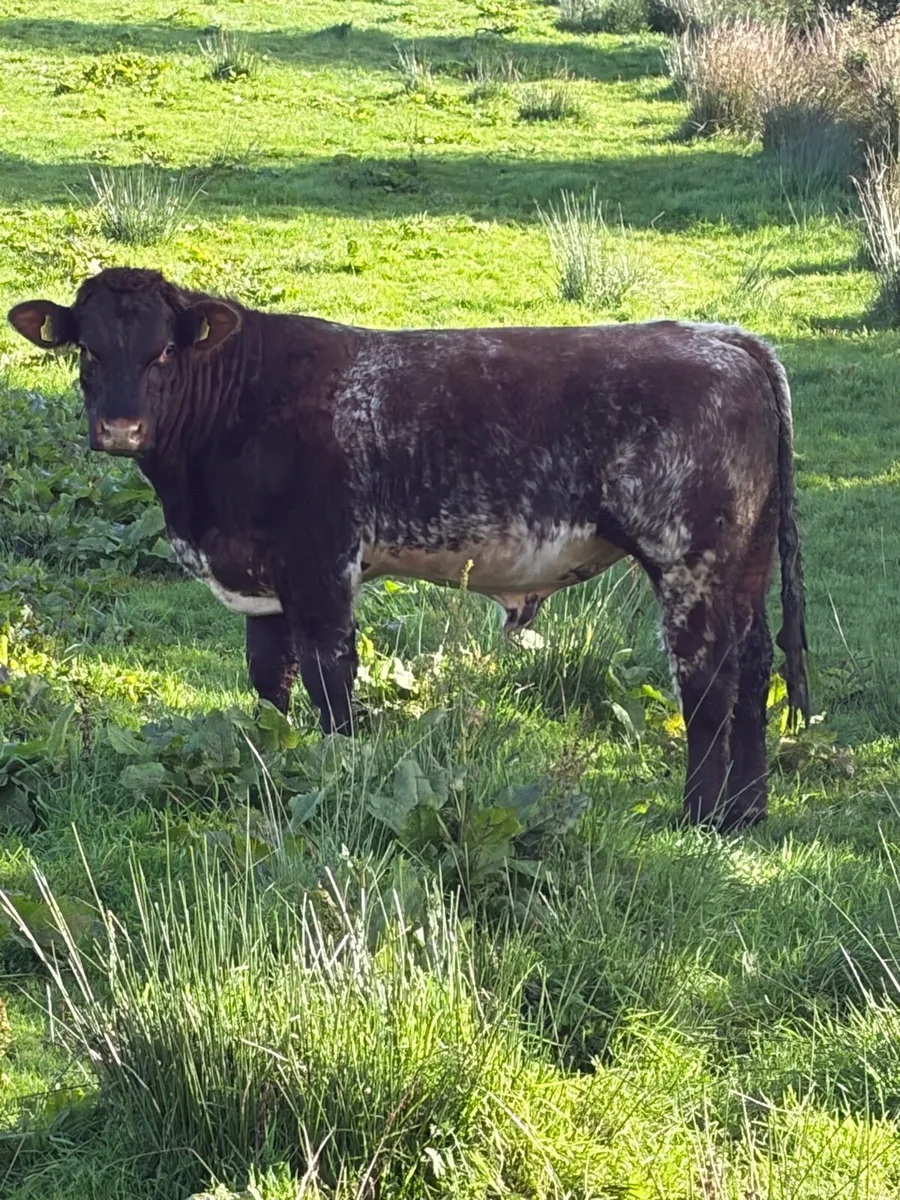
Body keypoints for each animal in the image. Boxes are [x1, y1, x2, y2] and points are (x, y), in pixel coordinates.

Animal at [8, 267, 808, 831]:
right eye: (87, 348)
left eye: (165, 350)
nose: (120, 428)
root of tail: (730, 340)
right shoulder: (263, 580)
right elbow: (269, 684)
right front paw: (272, 765)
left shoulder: (321, 564)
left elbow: (331, 682)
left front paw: (336, 774)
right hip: (745, 561)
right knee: (753, 668)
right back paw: (746, 812)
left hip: (690, 559)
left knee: (708, 682)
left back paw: (699, 815)